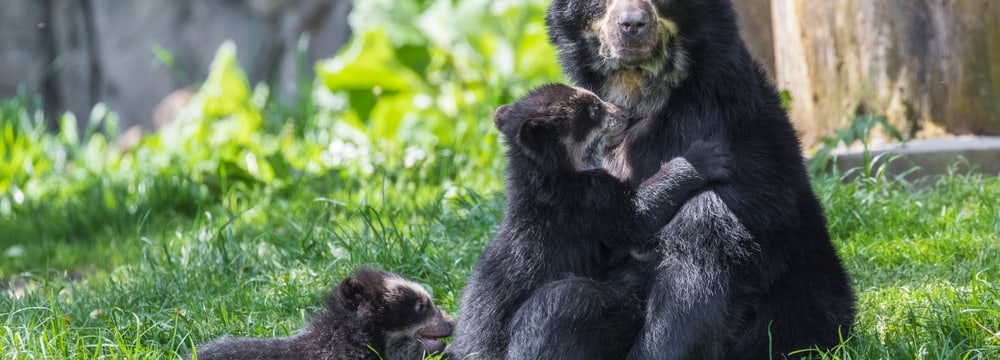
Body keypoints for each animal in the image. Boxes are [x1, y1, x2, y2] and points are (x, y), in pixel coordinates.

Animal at [450, 84, 732, 360]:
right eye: (595, 110)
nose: (625, 113)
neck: (552, 175)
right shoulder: (587, 204)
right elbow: (637, 213)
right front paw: (705, 157)